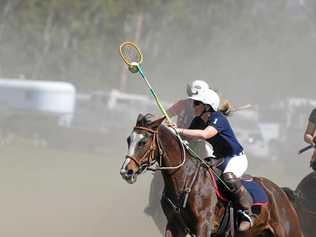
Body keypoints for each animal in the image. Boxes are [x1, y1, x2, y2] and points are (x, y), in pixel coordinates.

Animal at [120, 114, 304, 236]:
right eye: (129, 140)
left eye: (143, 142)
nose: (126, 171)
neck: (185, 180)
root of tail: (280, 192)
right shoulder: (173, 225)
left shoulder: (204, 225)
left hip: (290, 231)